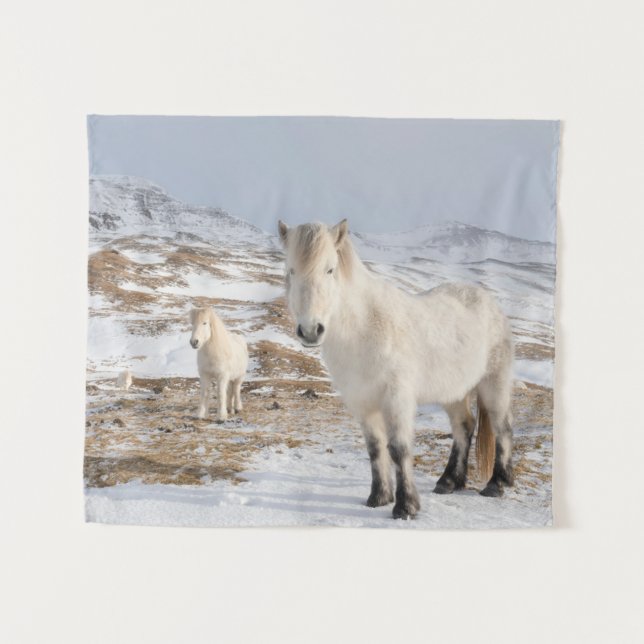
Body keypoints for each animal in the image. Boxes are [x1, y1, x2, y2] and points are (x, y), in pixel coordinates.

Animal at [278, 219, 514, 519]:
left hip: (494, 384)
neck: (364, 328)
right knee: (464, 426)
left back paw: (497, 483)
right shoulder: (363, 403)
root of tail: (489, 302)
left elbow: (399, 449)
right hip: (454, 392)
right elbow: (375, 448)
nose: (310, 331)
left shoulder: (397, 399)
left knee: (502, 427)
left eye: (329, 269)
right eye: (291, 270)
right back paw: (449, 482)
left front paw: (405, 506)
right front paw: (379, 497)